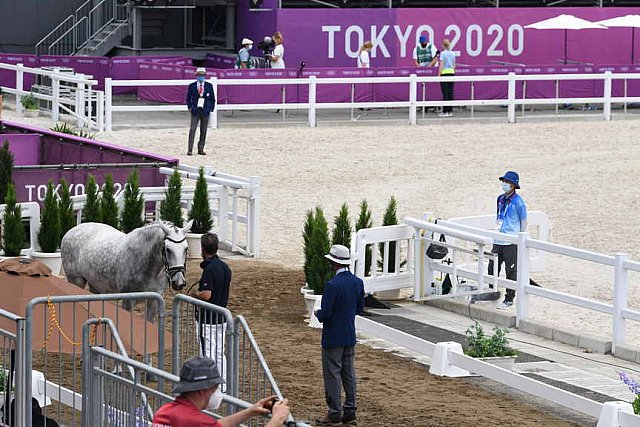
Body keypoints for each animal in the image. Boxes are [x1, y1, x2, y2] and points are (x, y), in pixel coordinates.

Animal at [62, 222, 192, 320]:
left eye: (186, 248)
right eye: (168, 249)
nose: (179, 282)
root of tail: (70, 231)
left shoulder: (154, 301)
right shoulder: (128, 301)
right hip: (76, 281)